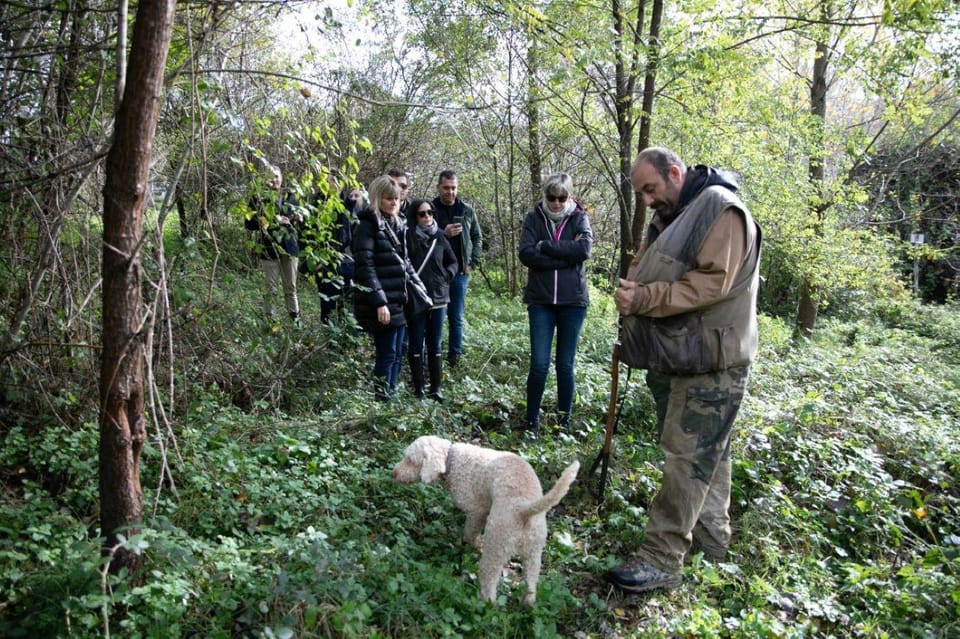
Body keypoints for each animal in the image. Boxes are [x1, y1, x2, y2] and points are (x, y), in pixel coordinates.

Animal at [390, 436, 576, 604]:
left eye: (410, 460)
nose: (393, 473)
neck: (452, 461)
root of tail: (524, 509)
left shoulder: (476, 512)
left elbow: (470, 534)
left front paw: (471, 544)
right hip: (534, 553)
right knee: (530, 585)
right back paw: (527, 604)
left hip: (496, 545)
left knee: (489, 582)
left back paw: (484, 602)